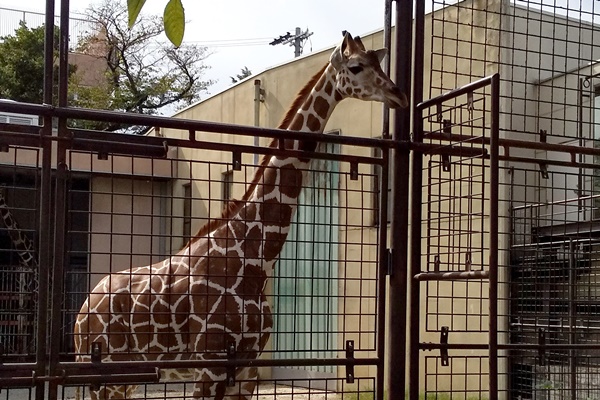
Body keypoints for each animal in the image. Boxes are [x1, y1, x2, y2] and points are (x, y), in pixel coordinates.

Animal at [72, 32, 406, 400]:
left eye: (379, 63)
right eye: (356, 66)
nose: (399, 95)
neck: (256, 260)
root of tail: (83, 309)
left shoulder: (246, 369)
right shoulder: (211, 363)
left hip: (128, 374)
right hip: (104, 370)